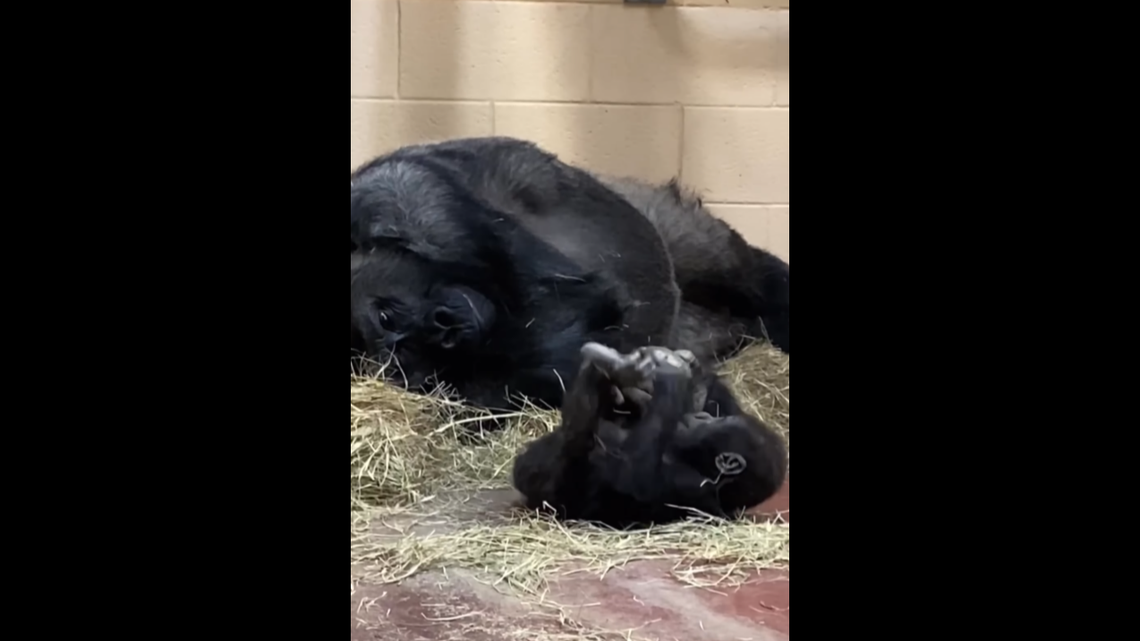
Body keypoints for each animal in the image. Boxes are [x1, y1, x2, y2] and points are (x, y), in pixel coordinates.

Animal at [350, 136, 789, 412]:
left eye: (386, 315)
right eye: (399, 352)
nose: (444, 326)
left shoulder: (418, 201)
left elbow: (574, 308)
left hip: (664, 215)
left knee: (733, 266)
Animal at [510, 342, 788, 528]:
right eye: (710, 420)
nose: (698, 418)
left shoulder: (691, 487)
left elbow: (636, 477)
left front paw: (670, 373)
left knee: (572, 449)